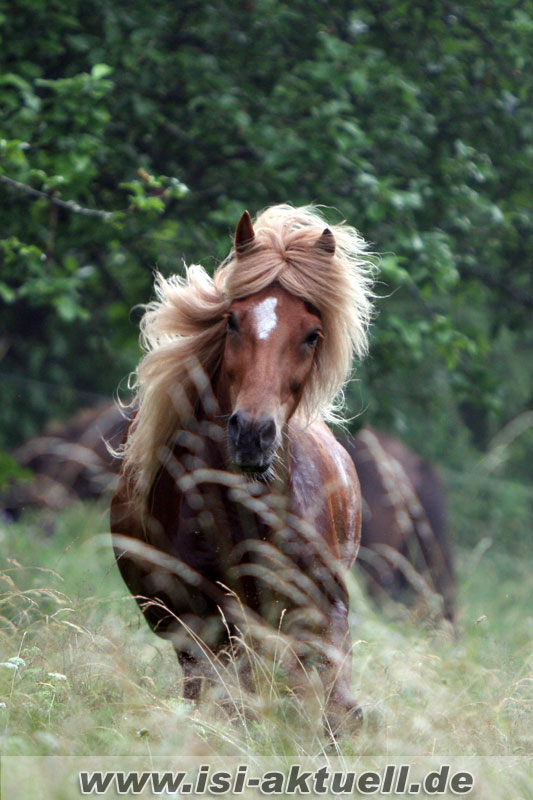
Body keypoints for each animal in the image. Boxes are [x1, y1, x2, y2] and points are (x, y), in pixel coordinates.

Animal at [109, 203, 374, 736]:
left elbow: (337, 704)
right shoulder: (206, 619)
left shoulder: (323, 606)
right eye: (231, 321)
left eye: (312, 334)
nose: (253, 433)